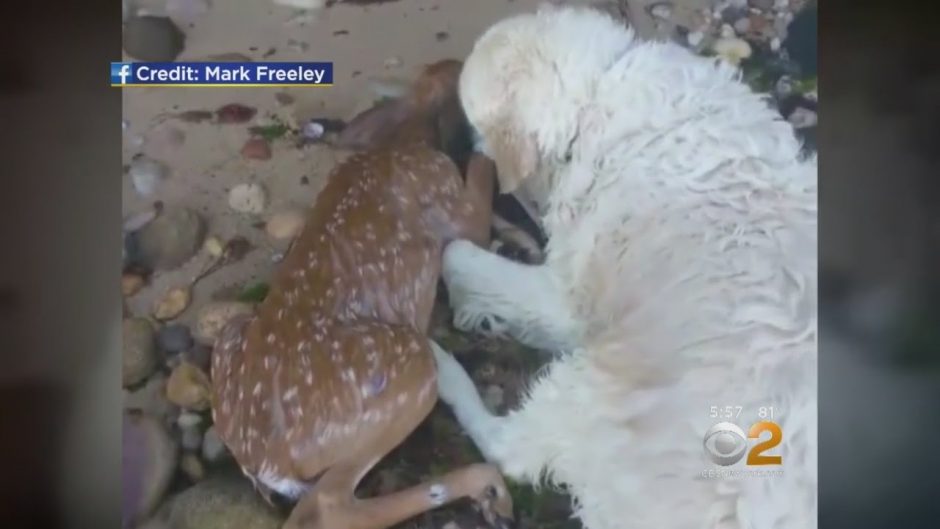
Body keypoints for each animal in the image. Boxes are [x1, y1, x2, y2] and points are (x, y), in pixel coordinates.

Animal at [432, 5, 816, 528]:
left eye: (471, 117)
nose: (449, 142)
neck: (599, 88)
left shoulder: (568, 302)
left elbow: (456, 254)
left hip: (601, 389)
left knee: (509, 452)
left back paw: (441, 368)